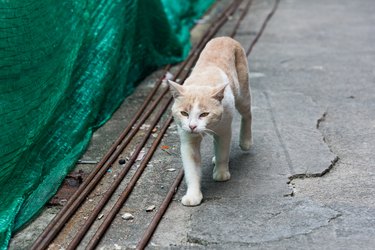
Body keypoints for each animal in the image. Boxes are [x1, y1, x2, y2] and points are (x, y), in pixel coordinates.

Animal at [170, 36, 253, 206]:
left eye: (204, 114)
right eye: (184, 113)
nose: (192, 126)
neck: (202, 83)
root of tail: (224, 38)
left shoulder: (225, 131)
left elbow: (223, 152)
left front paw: (221, 173)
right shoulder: (188, 140)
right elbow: (192, 169)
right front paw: (193, 195)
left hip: (242, 95)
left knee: (247, 113)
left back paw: (245, 141)